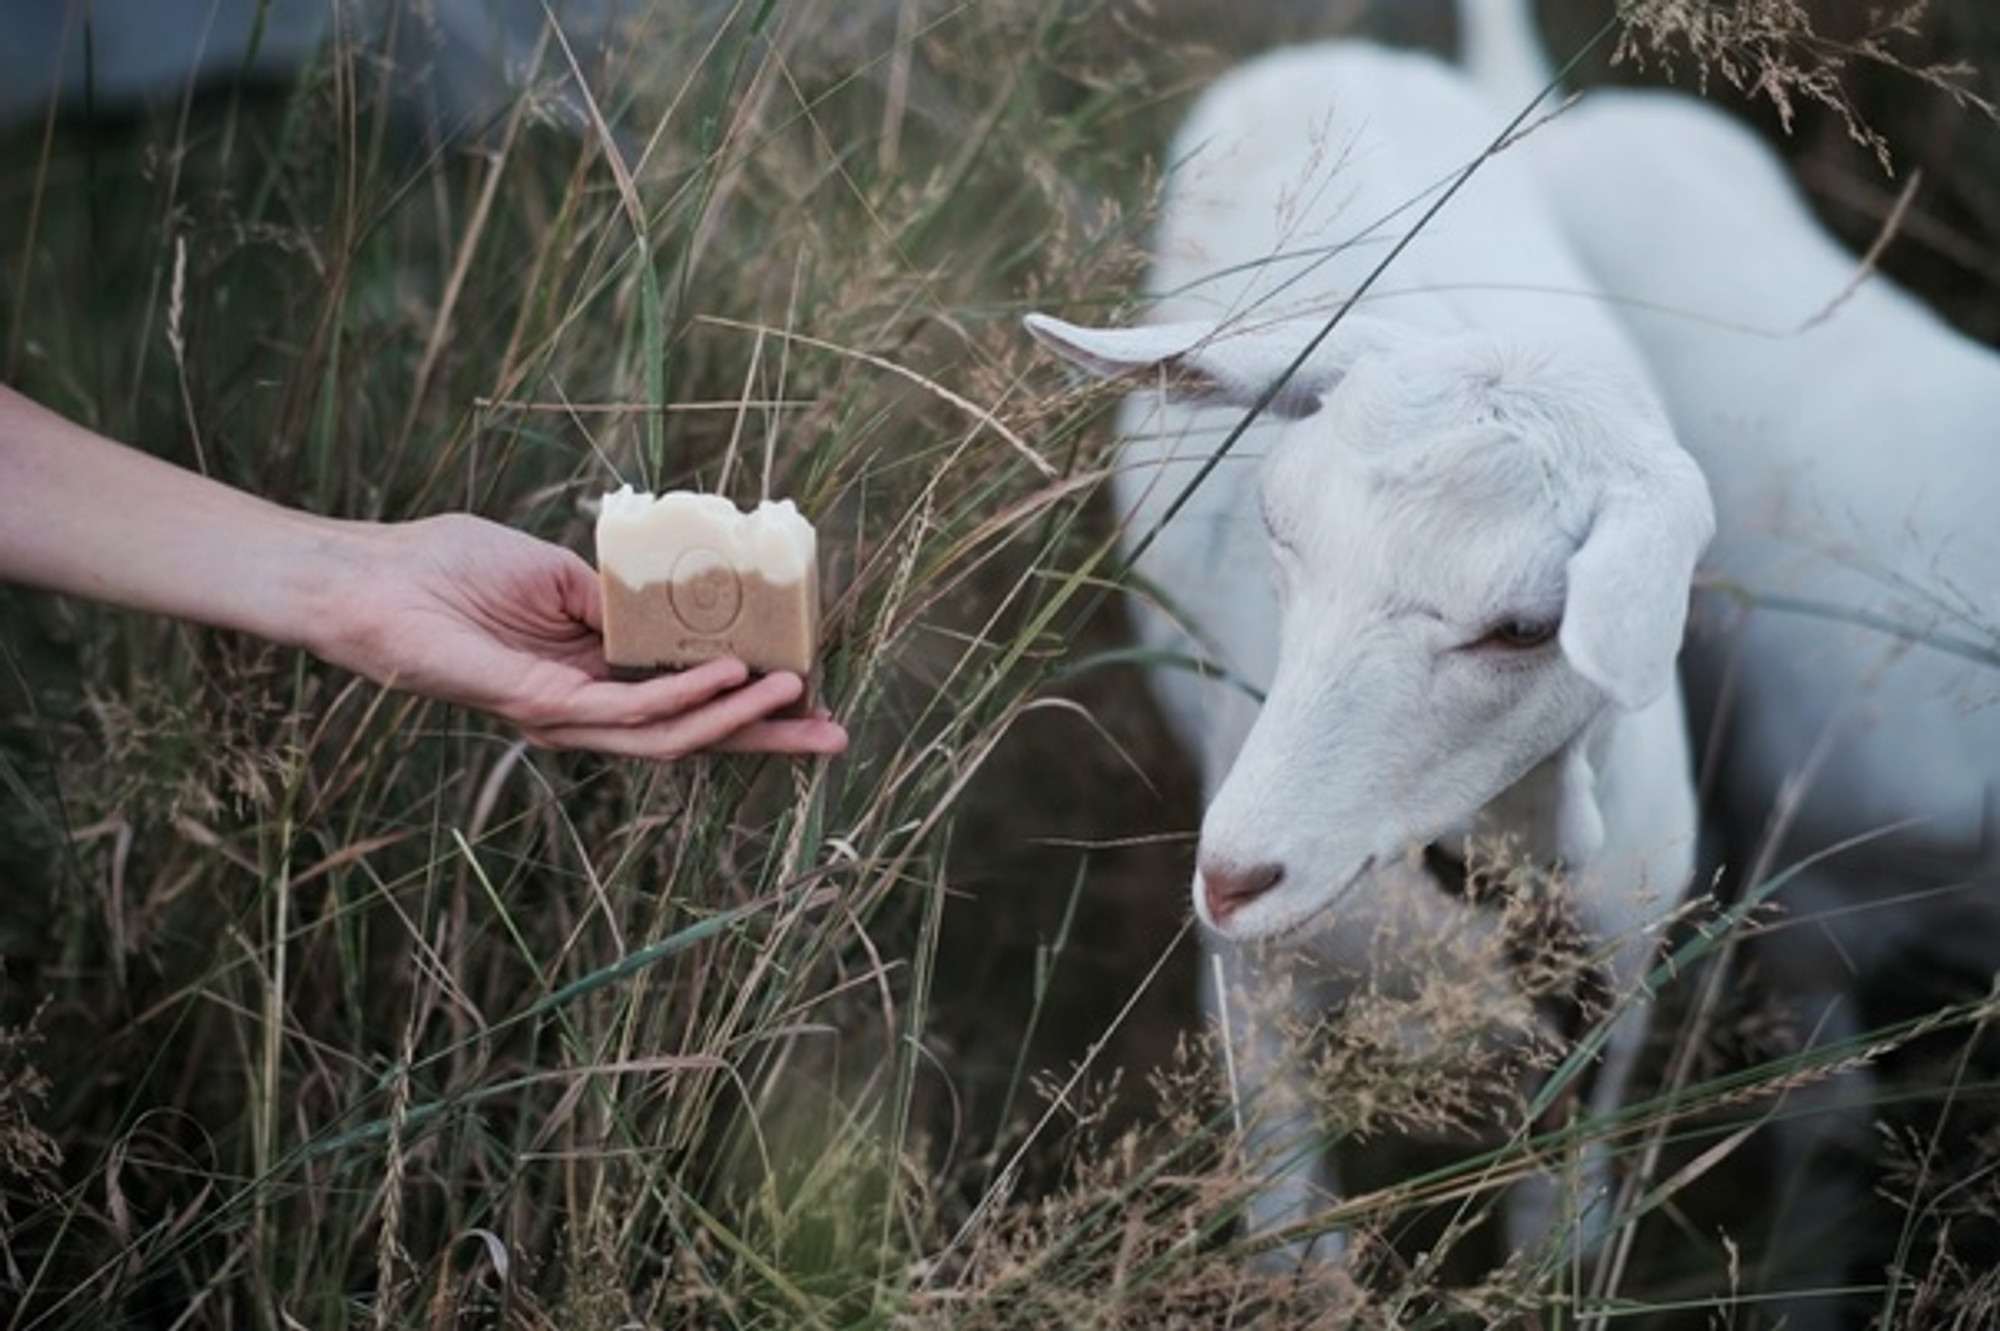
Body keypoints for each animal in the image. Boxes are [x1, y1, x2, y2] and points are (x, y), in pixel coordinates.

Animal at [1032, 38, 1704, 1263]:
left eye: (1526, 625)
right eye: (1277, 523)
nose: (1233, 874)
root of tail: (1344, 50)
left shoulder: (1613, 1017)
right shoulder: (1252, 999)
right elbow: (1299, 1254)